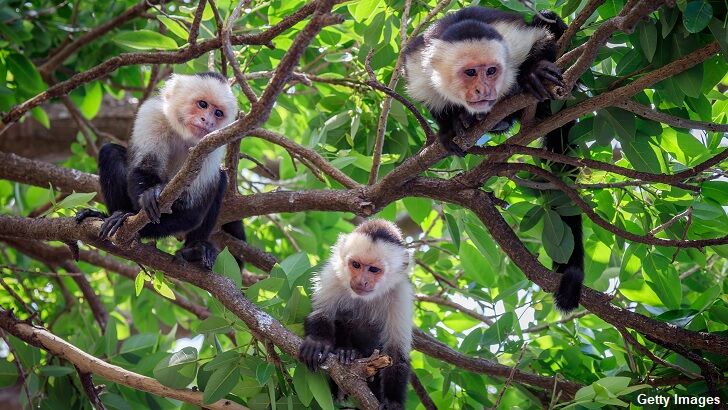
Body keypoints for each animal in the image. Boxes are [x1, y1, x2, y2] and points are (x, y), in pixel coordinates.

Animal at [77, 72, 246, 270]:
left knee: (220, 181)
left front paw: (134, 224)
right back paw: (111, 214)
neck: (184, 134)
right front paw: (148, 195)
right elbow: (144, 168)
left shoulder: (213, 144)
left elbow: (192, 212)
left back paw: (196, 250)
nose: (208, 121)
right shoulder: (152, 114)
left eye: (218, 113)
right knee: (110, 152)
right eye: (202, 104)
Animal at [300, 221, 416, 410]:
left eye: (374, 269)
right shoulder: (332, 276)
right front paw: (318, 342)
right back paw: (347, 352)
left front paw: (392, 402)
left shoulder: (401, 294)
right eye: (356, 265)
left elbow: (395, 352)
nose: (362, 281)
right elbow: (322, 314)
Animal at [404, 7, 584, 310]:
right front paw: (450, 127)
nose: (484, 90)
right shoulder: (418, 66)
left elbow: (541, 39)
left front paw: (534, 71)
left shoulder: (511, 43)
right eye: (470, 73)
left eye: (491, 71)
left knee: (547, 20)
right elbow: (431, 98)